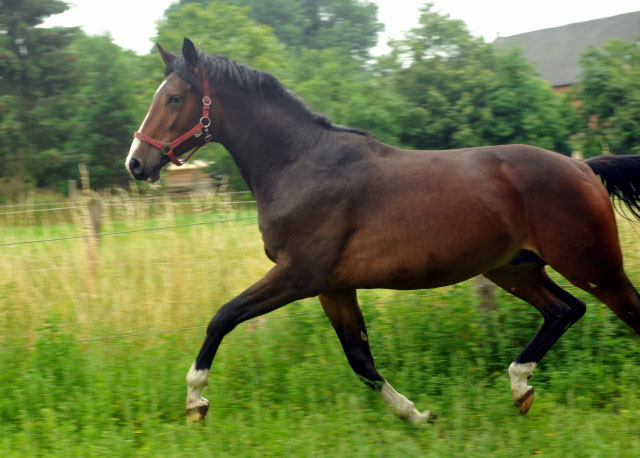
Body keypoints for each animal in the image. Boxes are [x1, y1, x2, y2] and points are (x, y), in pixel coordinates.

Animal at [125, 37, 640, 424]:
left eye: (174, 98)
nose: (136, 163)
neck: (299, 163)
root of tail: (584, 168)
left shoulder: (297, 276)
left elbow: (223, 317)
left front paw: (196, 401)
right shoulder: (332, 286)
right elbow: (360, 358)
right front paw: (419, 416)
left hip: (591, 264)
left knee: (622, 310)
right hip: (514, 269)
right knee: (564, 310)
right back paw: (519, 387)